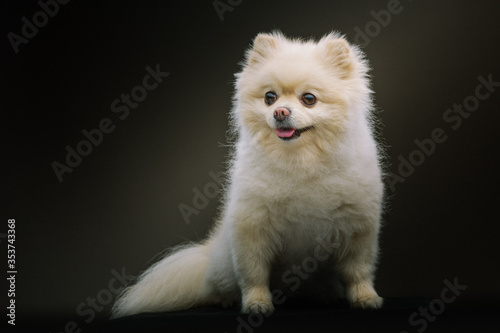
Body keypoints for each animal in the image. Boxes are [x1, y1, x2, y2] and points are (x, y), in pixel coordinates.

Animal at [113, 31, 384, 316]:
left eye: (308, 99)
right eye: (270, 97)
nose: (280, 112)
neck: (299, 161)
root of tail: (208, 255)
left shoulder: (358, 227)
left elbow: (358, 270)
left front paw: (365, 297)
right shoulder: (253, 227)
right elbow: (254, 273)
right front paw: (257, 303)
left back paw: (324, 294)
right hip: (222, 266)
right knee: (218, 285)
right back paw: (225, 298)